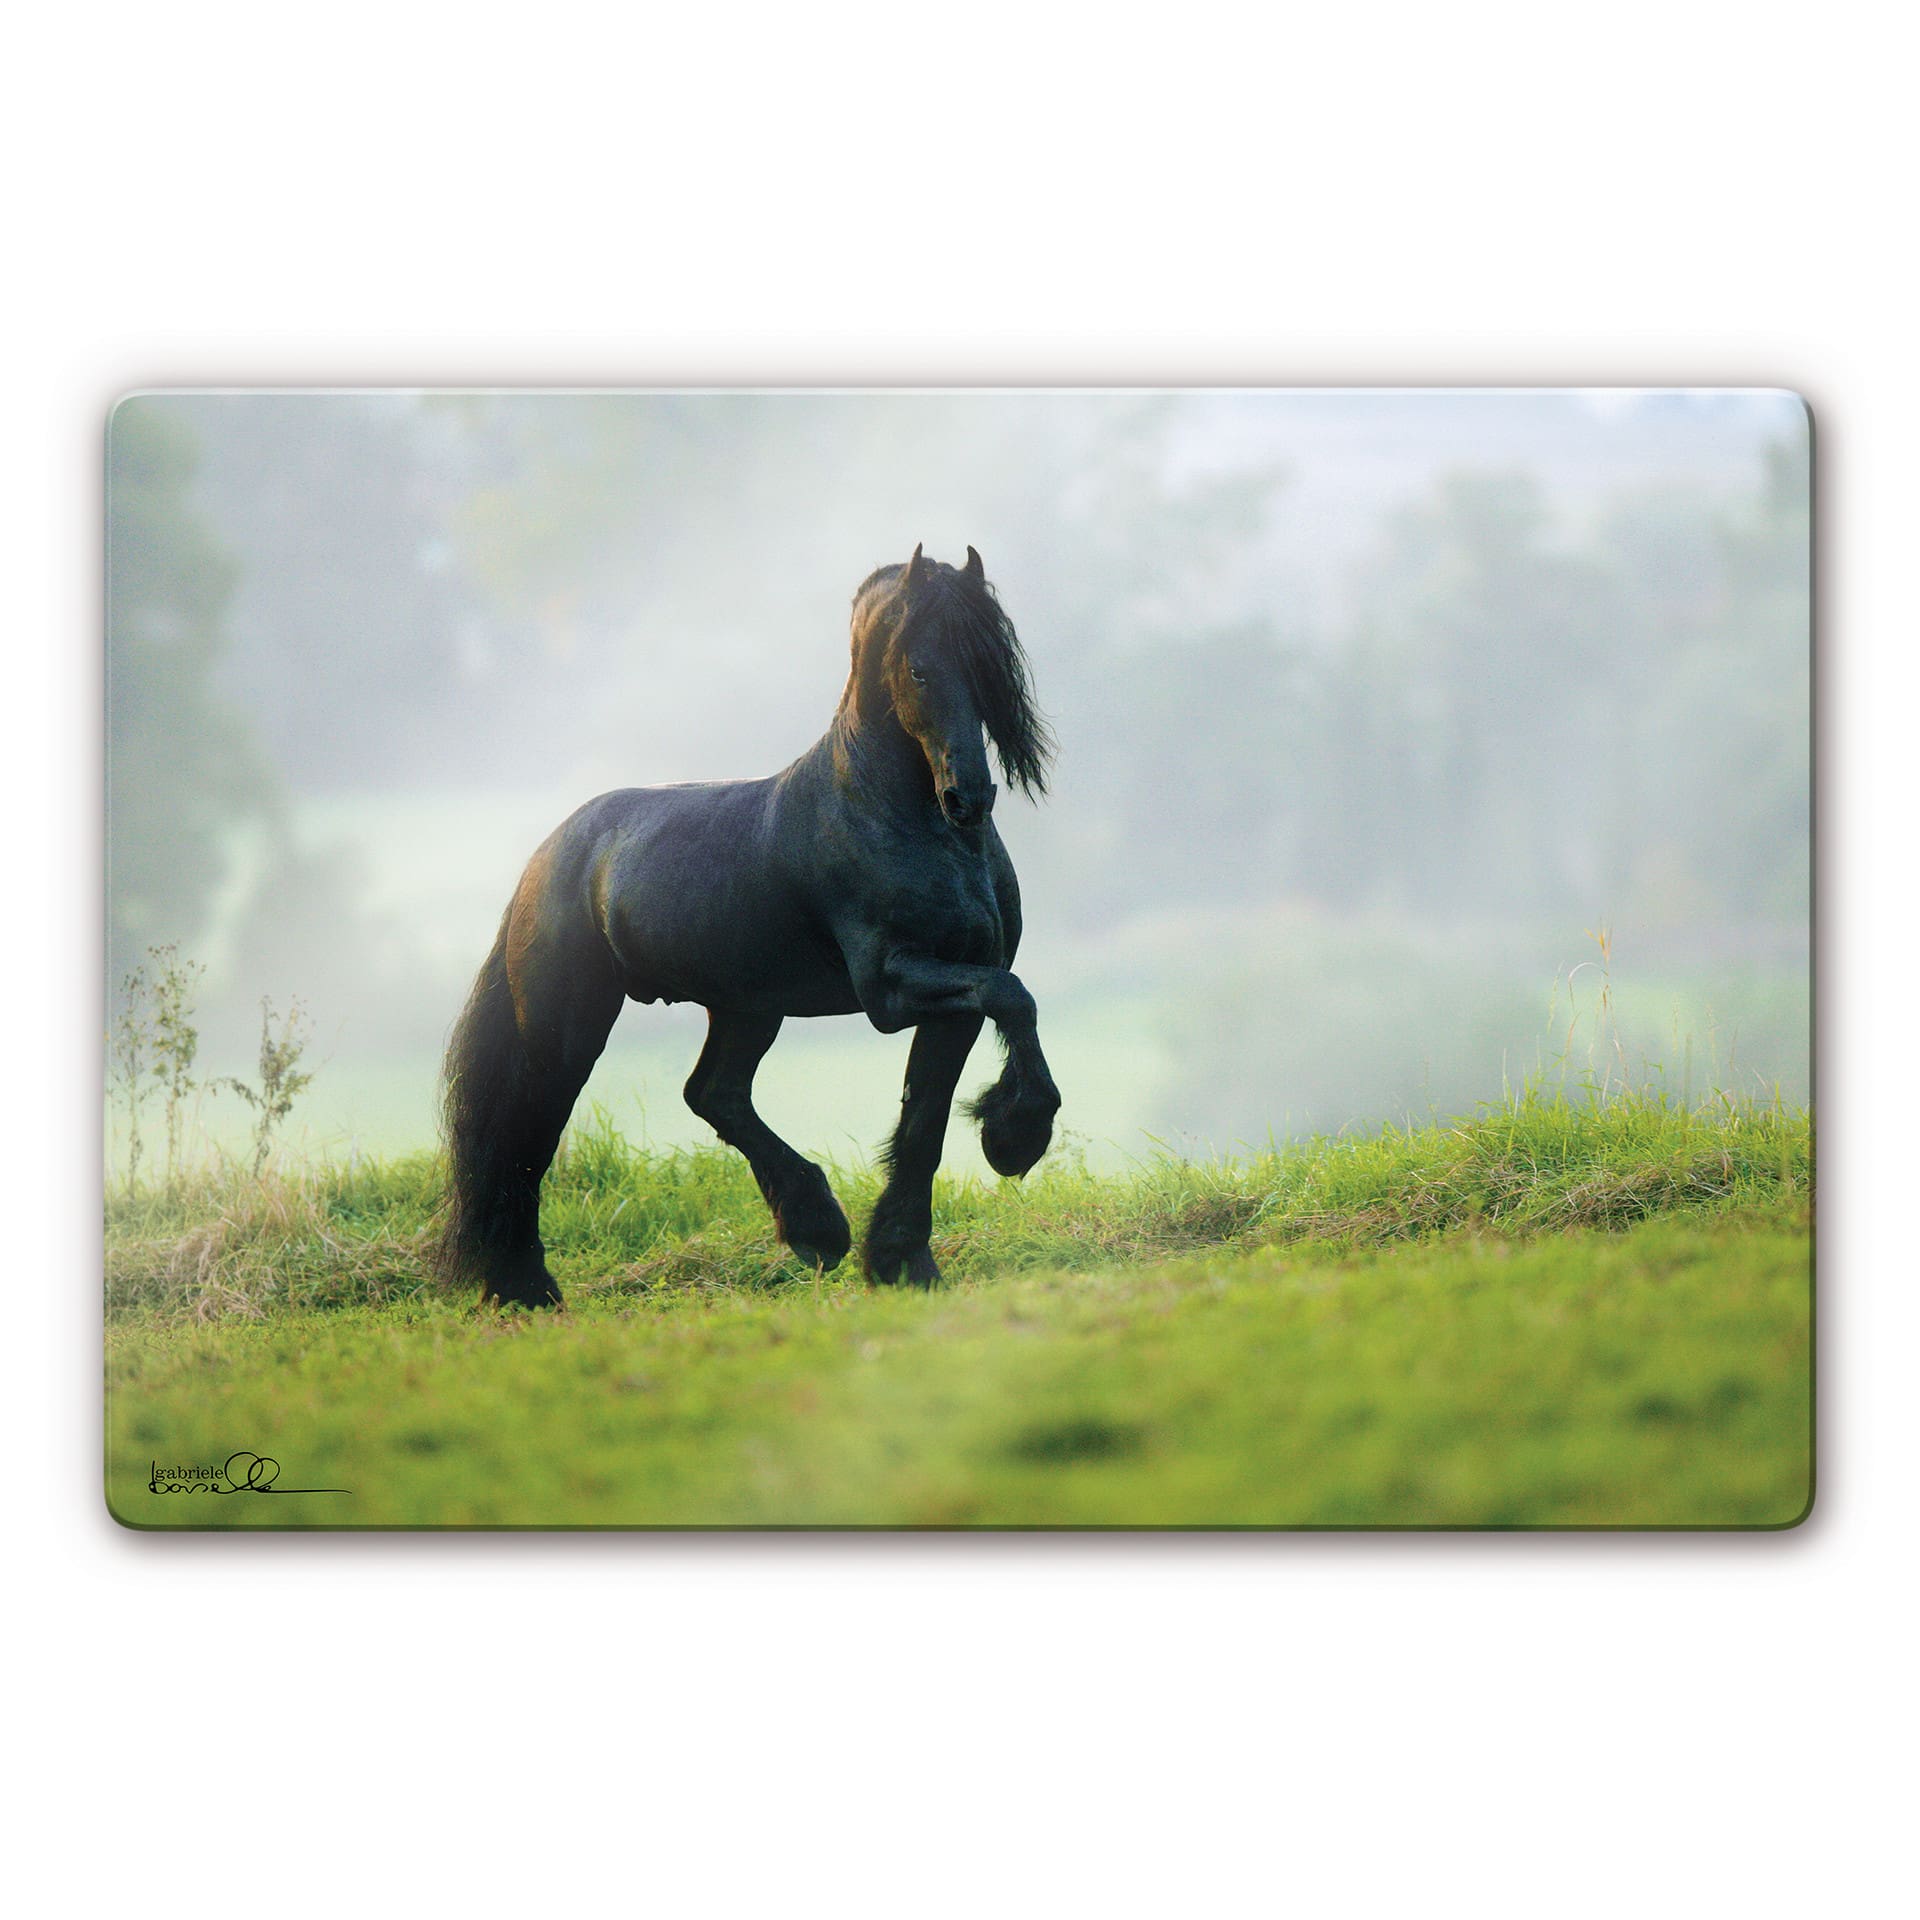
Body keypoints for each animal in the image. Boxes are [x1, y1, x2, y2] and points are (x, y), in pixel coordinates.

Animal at [438, 543, 1061, 1306]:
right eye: (919, 668)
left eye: (990, 666)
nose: (968, 797)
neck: (889, 815)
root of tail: (547, 856)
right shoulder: (891, 987)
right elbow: (1014, 999)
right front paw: (1015, 1136)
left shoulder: (956, 992)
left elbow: (927, 1114)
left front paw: (903, 1260)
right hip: (568, 1030)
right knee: (524, 1130)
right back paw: (524, 1286)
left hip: (747, 1007)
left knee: (714, 1094)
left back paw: (816, 1229)